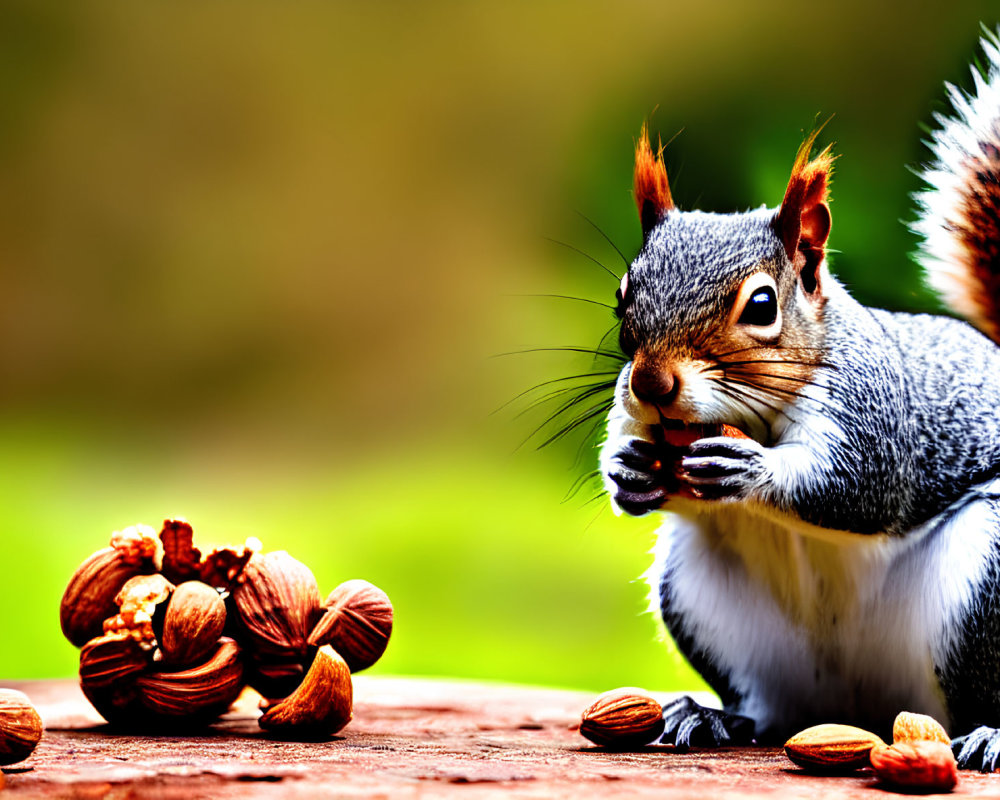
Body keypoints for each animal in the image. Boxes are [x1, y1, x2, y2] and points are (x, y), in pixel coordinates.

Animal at [596, 29, 1000, 768]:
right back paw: (717, 718)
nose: (652, 384)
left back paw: (988, 731)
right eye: (622, 298)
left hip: (988, 575)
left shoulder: (874, 411)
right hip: (706, 600)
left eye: (761, 305)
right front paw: (626, 470)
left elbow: (857, 488)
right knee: (767, 704)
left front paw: (752, 470)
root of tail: (863, 703)